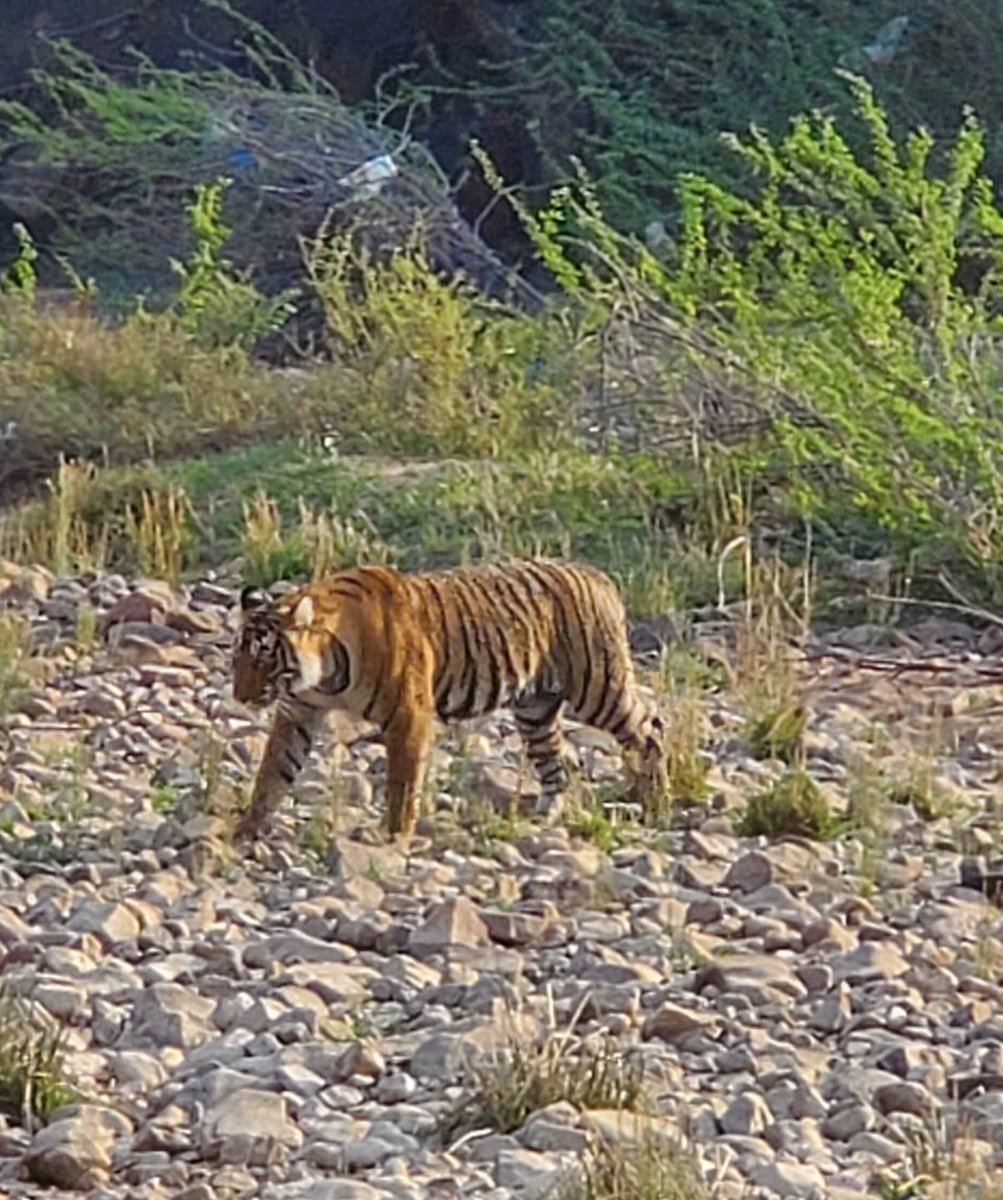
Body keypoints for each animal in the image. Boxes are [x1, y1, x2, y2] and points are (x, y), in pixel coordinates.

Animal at [231, 558, 667, 841]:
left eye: (265, 660)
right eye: (238, 658)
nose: (239, 696)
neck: (321, 676)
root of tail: (598, 576)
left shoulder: (408, 716)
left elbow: (402, 782)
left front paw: (395, 837)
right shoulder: (297, 713)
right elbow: (273, 772)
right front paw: (246, 828)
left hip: (598, 689)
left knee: (651, 729)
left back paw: (656, 802)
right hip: (536, 709)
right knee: (554, 765)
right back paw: (544, 816)